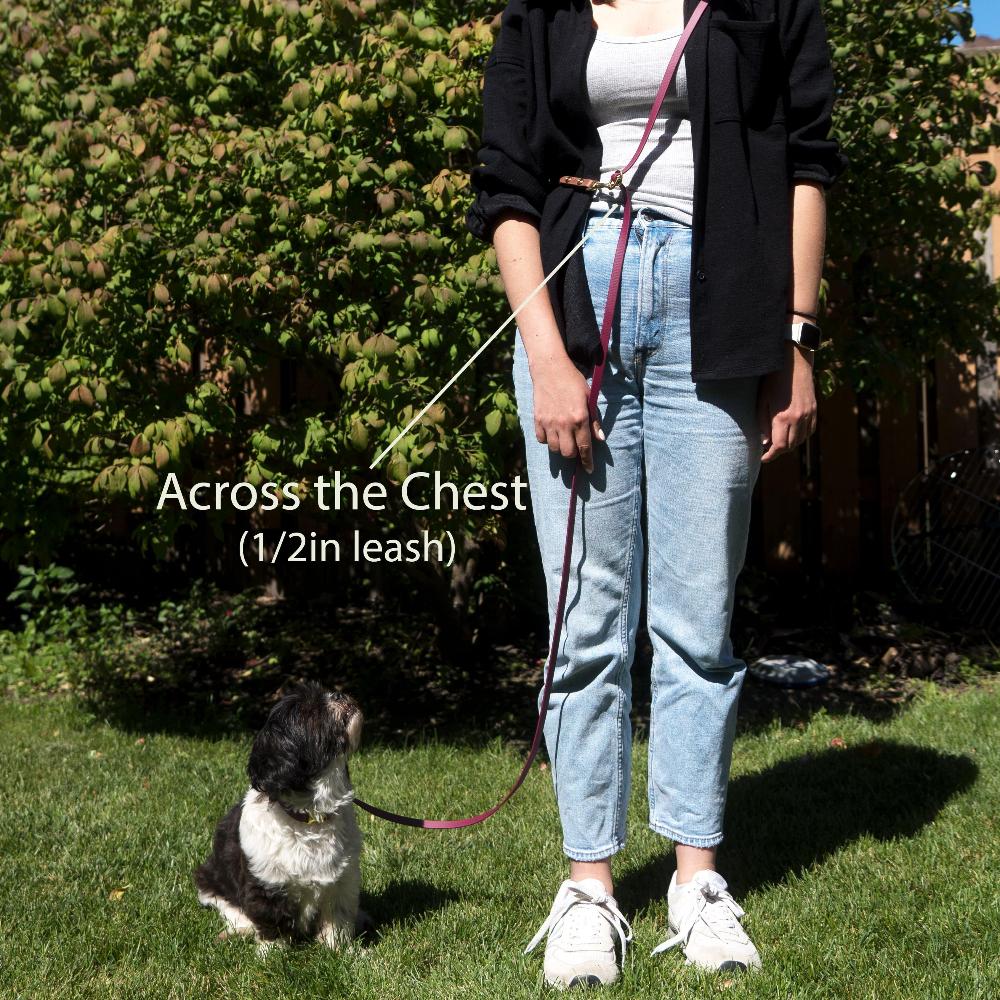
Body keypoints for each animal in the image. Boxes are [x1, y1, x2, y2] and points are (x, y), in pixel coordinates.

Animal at [193, 680, 370, 952]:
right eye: (309, 712)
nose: (338, 693)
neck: (309, 818)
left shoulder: (343, 880)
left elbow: (338, 919)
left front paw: (340, 950)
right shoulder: (266, 884)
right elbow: (271, 919)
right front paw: (272, 953)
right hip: (211, 877)